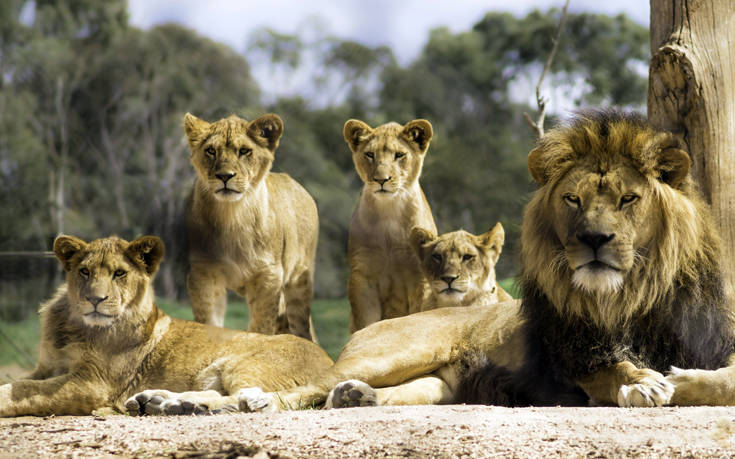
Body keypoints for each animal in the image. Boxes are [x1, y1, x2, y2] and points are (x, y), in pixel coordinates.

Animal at [0, 235, 330, 418]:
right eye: (84, 272)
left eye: (119, 273)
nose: (95, 299)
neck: (75, 325)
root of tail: (329, 364)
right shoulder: (47, 368)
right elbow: (21, 381)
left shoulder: (93, 383)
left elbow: (23, 389)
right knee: (222, 396)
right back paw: (160, 402)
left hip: (241, 363)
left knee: (250, 400)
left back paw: (173, 405)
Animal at [185, 113, 318, 340]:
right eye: (211, 151)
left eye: (244, 151)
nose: (225, 176)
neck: (231, 216)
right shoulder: (204, 273)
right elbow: (208, 321)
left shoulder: (268, 275)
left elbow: (261, 326)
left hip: (299, 281)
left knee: (301, 327)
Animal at [344, 120, 436, 332]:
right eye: (370, 154)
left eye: (399, 155)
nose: (381, 180)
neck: (389, 212)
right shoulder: (363, 276)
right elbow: (365, 323)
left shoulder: (421, 279)